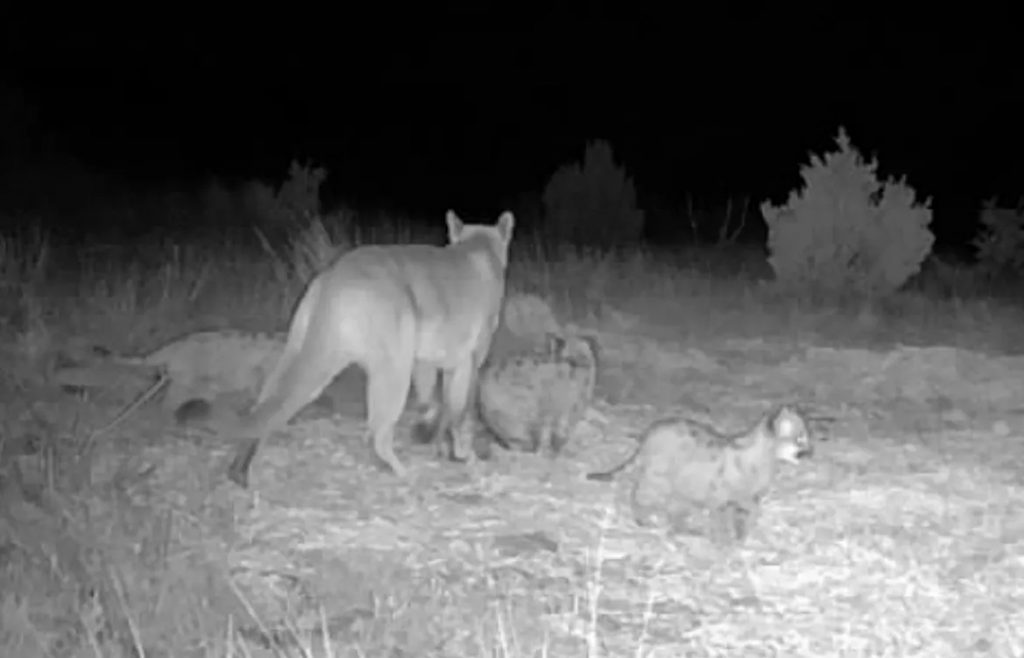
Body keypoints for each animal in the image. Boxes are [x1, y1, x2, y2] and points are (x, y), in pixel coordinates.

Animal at [226, 210, 516, 488]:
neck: (479, 247)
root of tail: (335, 275)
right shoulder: (469, 361)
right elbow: (459, 411)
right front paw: (463, 454)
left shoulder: (428, 361)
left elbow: (434, 403)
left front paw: (432, 437)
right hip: (391, 368)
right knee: (378, 431)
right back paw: (404, 473)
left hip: (298, 353)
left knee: (265, 407)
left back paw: (240, 470)